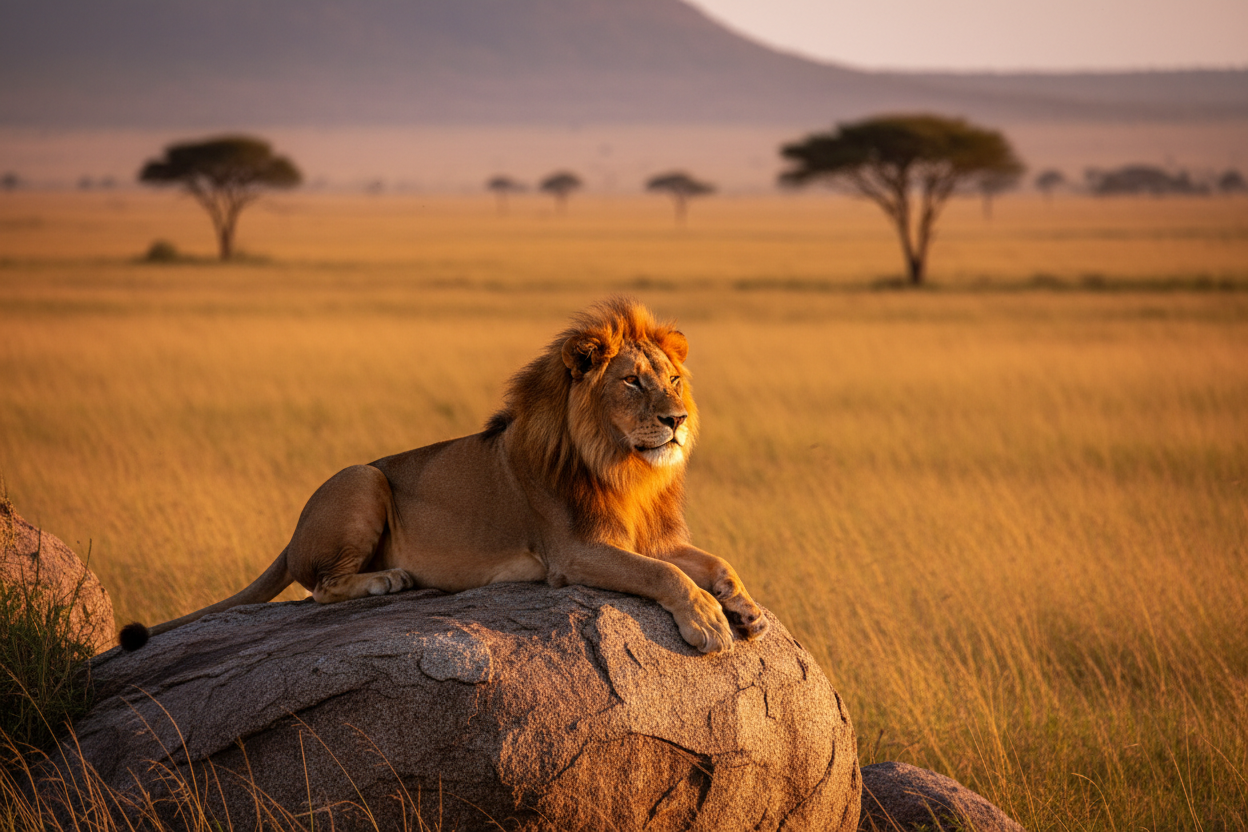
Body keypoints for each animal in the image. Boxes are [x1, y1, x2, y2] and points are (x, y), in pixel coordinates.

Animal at [119, 298, 768, 654]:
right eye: (631, 382)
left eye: (674, 380)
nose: (677, 420)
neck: (625, 467)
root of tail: (293, 534)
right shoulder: (574, 553)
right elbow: (664, 575)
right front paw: (707, 620)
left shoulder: (649, 537)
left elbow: (715, 562)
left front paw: (746, 609)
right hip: (363, 478)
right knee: (320, 588)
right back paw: (387, 581)